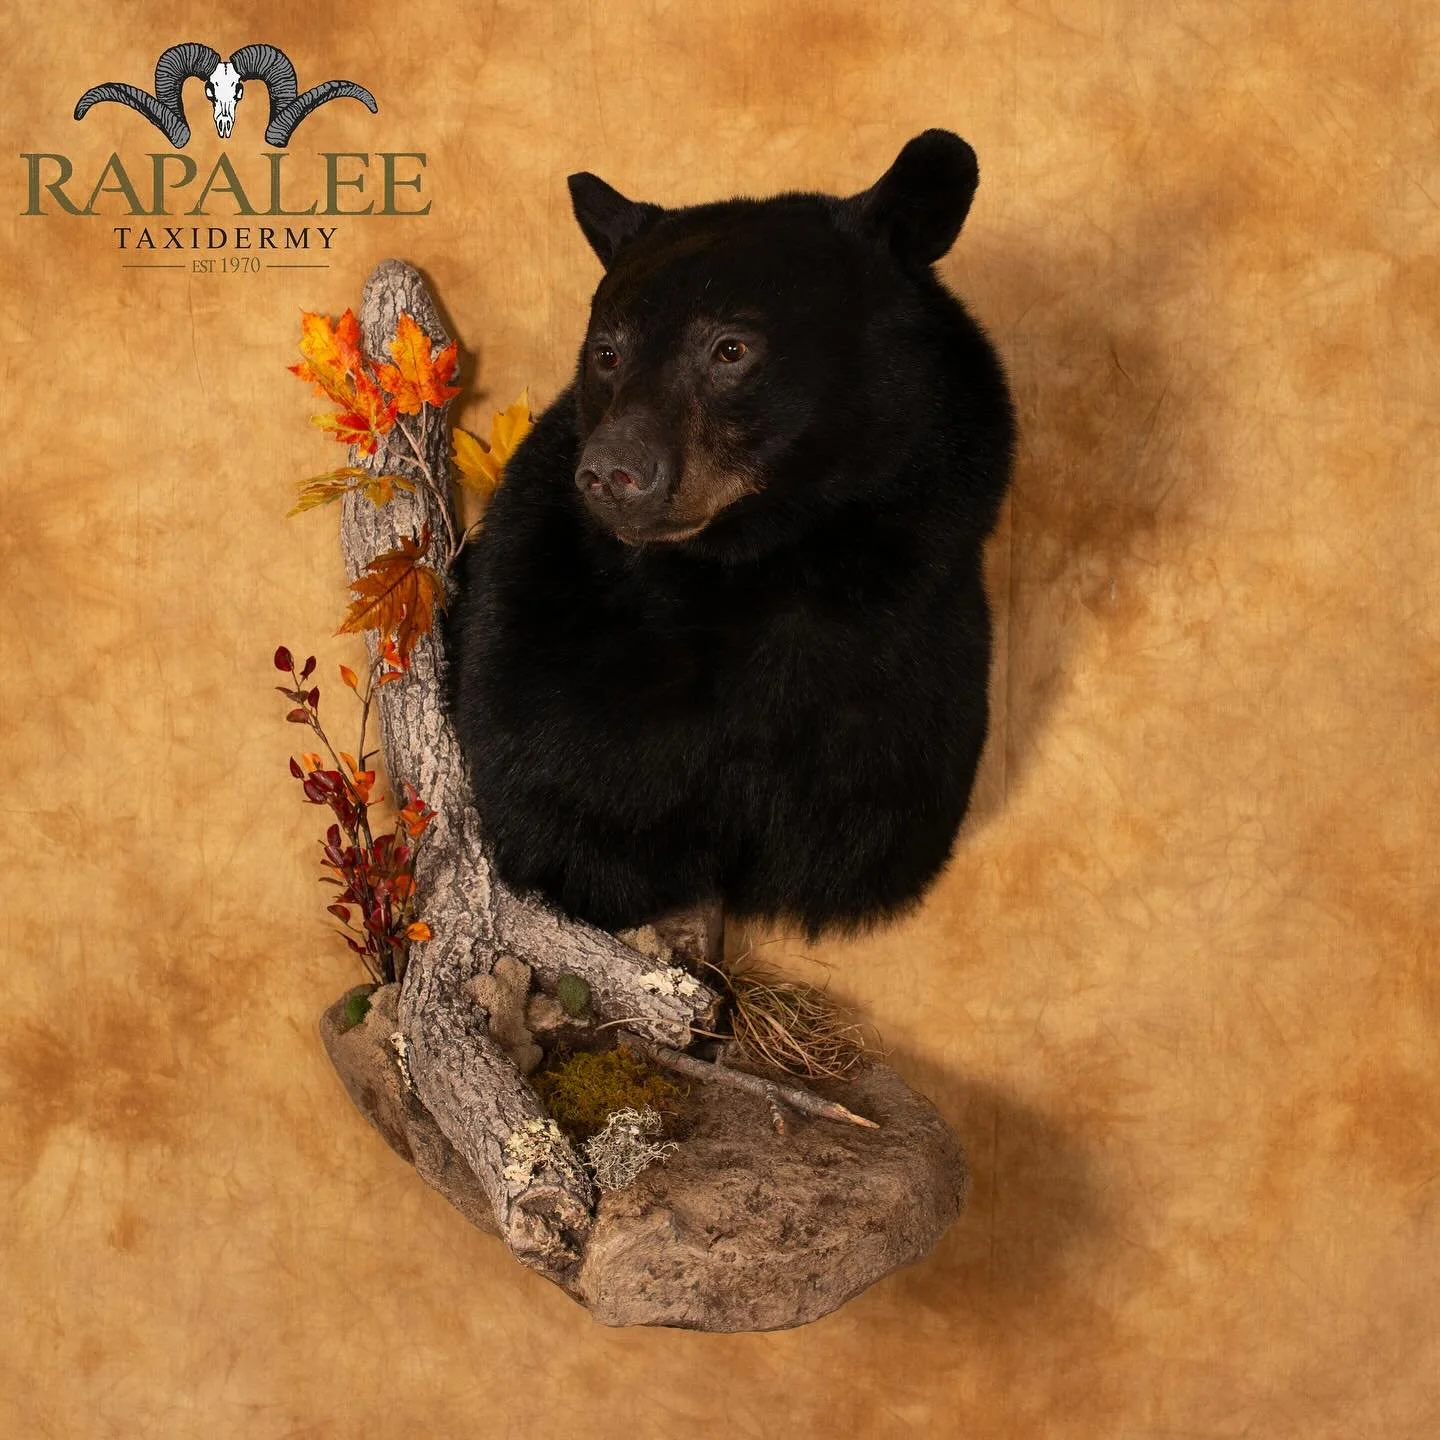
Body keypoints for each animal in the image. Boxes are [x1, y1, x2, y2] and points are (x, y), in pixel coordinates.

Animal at [447, 130, 1015, 941]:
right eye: (607, 352)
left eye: (731, 348)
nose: (612, 471)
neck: (754, 576)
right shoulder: (538, 640)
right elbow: (566, 800)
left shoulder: (914, 672)